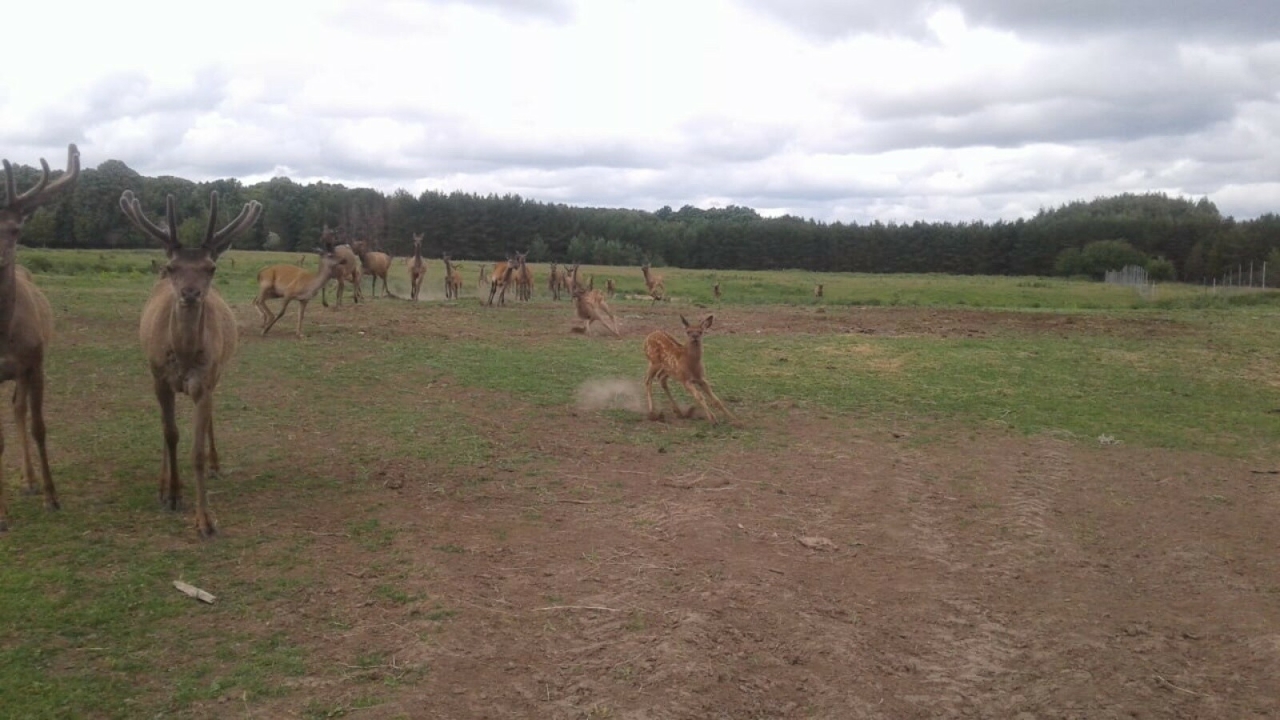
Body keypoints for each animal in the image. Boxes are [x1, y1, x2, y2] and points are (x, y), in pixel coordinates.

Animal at [120, 188, 262, 535]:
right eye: (173, 267)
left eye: (211, 268)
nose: (190, 293)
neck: (183, 355)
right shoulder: (159, 378)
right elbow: (170, 434)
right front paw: (173, 493)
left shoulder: (205, 381)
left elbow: (195, 450)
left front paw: (205, 520)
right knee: (164, 427)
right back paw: (162, 485)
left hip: (218, 372)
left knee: (209, 418)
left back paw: (215, 463)